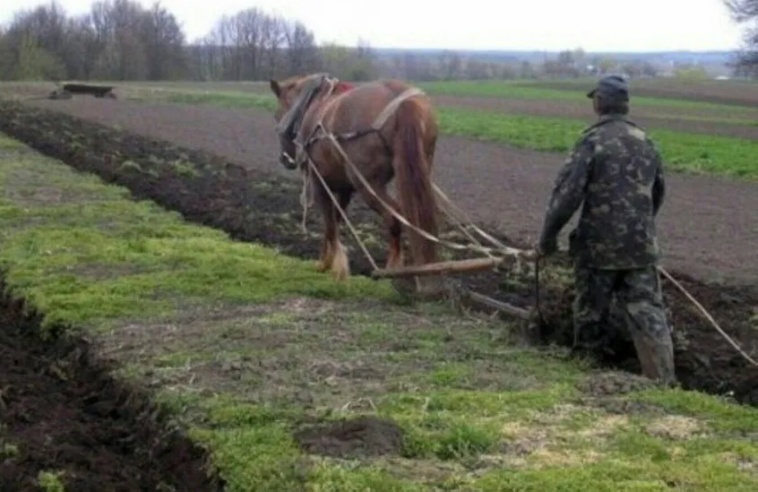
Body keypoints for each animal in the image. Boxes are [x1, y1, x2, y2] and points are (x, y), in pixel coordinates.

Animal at [270, 74, 442, 292]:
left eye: (277, 116)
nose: (284, 159)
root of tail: (402, 102)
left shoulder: (319, 184)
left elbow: (329, 225)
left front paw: (328, 264)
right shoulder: (344, 189)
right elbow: (335, 220)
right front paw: (329, 261)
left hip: (367, 184)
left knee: (394, 217)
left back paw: (392, 270)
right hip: (418, 170)